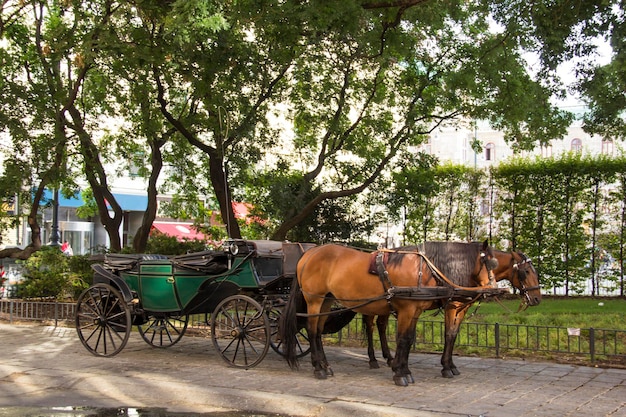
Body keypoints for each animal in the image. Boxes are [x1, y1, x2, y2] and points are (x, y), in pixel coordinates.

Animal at [280, 240, 498, 386]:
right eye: (489, 263)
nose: (494, 289)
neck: (424, 268)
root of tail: (310, 253)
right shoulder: (408, 309)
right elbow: (403, 339)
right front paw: (401, 373)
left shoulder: (415, 311)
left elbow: (409, 339)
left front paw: (403, 369)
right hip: (314, 300)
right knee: (312, 331)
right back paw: (318, 368)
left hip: (326, 300)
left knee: (317, 331)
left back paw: (325, 365)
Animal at [364, 244, 540, 376]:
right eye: (526, 271)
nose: (537, 298)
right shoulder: (451, 306)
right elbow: (448, 334)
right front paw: (446, 367)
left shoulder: (462, 308)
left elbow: (454, 334)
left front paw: (451, 365)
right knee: (370, 326)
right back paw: (373, 359)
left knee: (381, 326)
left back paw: (388, 357)